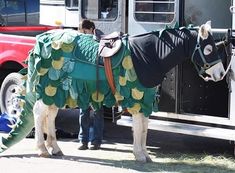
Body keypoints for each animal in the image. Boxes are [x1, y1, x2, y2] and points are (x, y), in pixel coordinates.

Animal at [0, 21, 226, 162]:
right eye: (208, 49)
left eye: (215, 46)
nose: (221, 74)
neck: (148, 55)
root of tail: (41, 39)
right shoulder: (137, 96)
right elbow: (139, 127)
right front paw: (139, 154)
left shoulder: (146, 97)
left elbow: (144, 128)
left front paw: (145, 154)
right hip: (51, 86)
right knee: (39, 114)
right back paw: (42, 149)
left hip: (56, 90)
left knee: (51, 115)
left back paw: (54, 148)